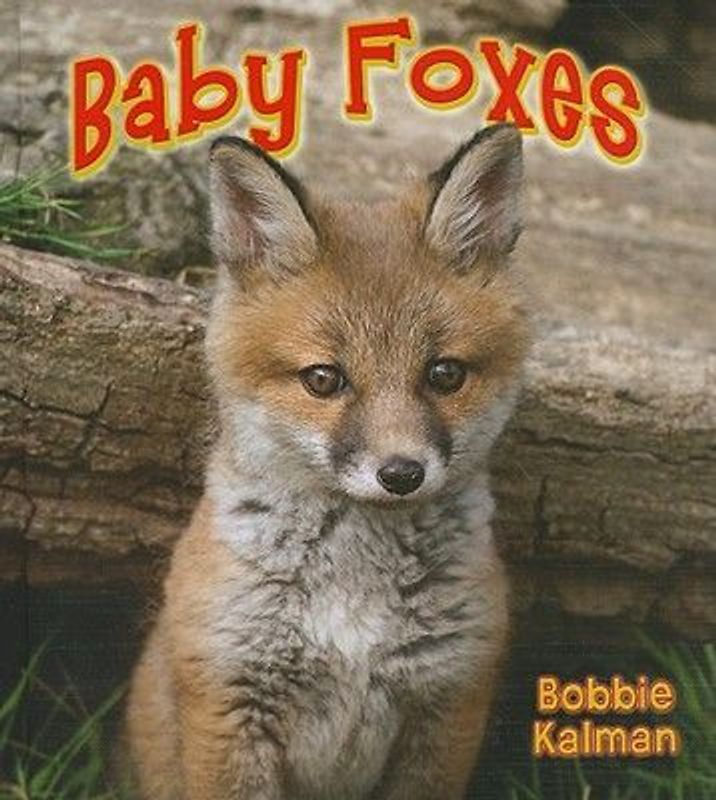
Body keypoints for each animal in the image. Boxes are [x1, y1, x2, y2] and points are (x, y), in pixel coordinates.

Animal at [124, 123, 530, 800]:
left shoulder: (447, 703)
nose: (401, 474)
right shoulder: (229, 697)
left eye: (445, 374)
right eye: (323, 379)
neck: (354, 594)